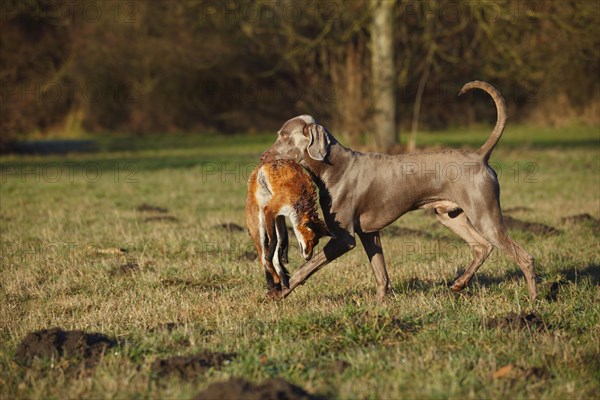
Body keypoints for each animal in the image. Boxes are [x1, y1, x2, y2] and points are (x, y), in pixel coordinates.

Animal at [247, 158, 332, 290]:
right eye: (311, 241)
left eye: (316, 243)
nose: (309, 258)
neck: (299, 200)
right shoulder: (271, 210)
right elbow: (273, 244)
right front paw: (272, 258)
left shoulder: (280, 215)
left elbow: (282, 240)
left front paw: (283, 256)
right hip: (260, 225)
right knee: (263, 258)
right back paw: (273, 280)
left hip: (276, 219)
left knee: (277, 251)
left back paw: (282, 278)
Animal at [260, 80, 536, 300]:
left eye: (284, 136)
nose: (262, 156)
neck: (333, 167)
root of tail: (480, 156)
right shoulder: (369, 233)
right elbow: (381, 273)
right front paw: (379, 304)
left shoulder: (345, 238)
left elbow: (307, 267)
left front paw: (280, 291)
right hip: (449, 215)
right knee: (482, 247)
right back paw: (460, 283)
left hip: (484, 214)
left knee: (523, 257)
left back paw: (533, 299)